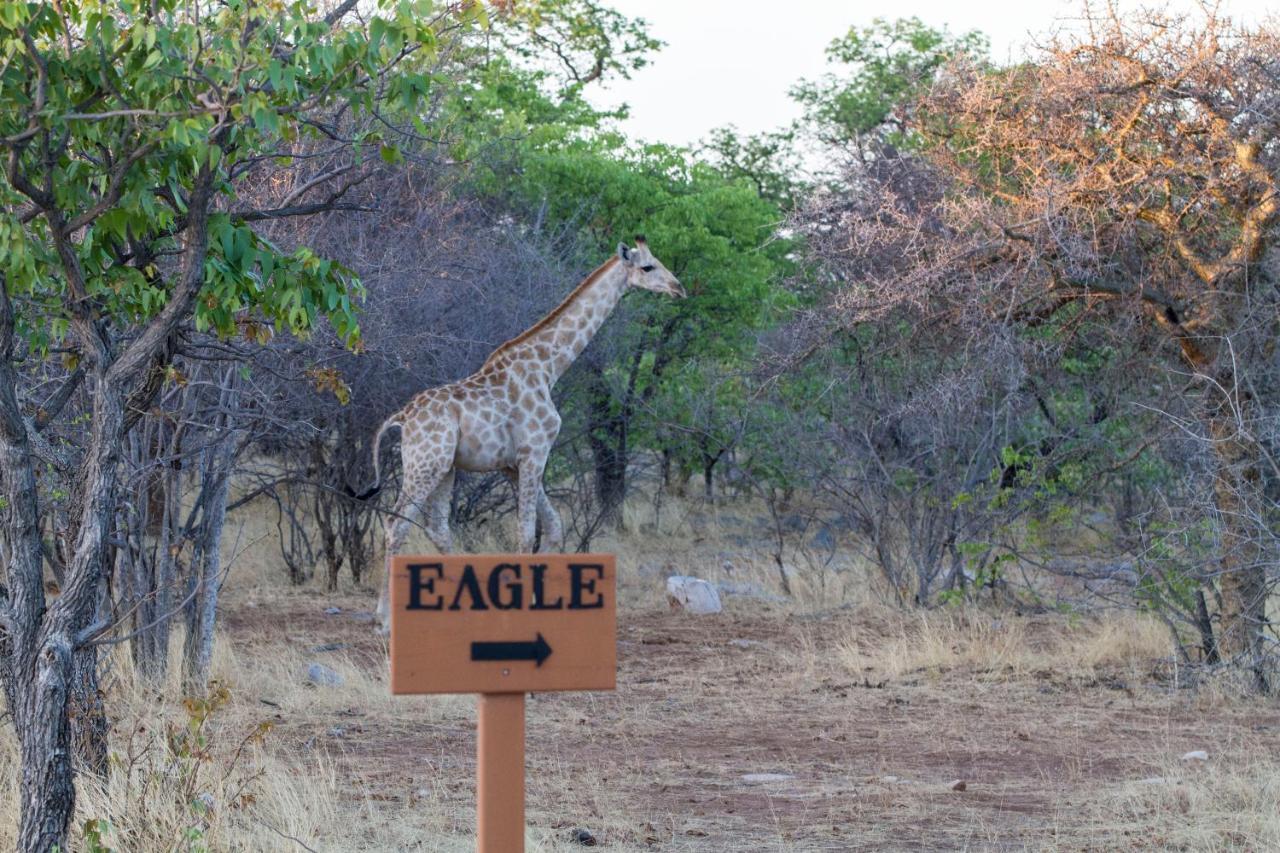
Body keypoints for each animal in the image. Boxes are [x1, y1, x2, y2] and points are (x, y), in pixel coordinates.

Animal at [363, 235, 680, 627]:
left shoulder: (512, 465)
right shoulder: (534, 453)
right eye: (648, 267)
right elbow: (527, 532)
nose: (678, 287)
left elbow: (554, 528)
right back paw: (383, 617)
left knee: (437, 529)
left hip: (445, 468)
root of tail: (402, 418)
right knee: (396, 524)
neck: (548, 366)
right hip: (425, 464)